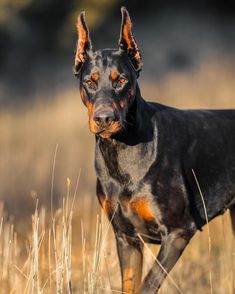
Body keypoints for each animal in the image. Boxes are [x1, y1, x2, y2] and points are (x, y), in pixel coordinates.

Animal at [73, 6, 235, 294]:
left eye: (121, 80)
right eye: (90, 82)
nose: (104, 119)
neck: (120, 152)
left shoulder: (178, 232)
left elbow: (147, 285)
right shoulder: (126, 239)